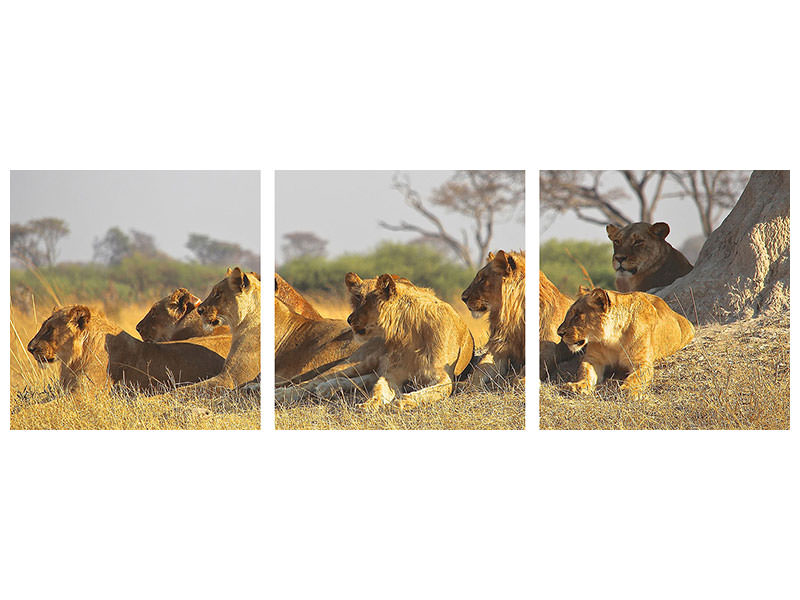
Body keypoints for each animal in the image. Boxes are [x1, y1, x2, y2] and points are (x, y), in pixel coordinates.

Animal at [347, 273, 474, 410]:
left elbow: (423, 393)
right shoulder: (393, 372)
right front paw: (368, 404)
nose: (349, 320)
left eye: (366, 301)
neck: (410, 333)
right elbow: (379, 388)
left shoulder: (443, 377)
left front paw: (399, 403)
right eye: (358, 298)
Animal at [556, 288, 695, 395]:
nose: (559, 333)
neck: (613, 338)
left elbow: (636, 377)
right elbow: (585, 371)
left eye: (577, 315)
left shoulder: (642, 362)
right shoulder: (593, 359)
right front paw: (577, 385)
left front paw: (628, 389)